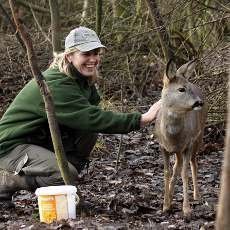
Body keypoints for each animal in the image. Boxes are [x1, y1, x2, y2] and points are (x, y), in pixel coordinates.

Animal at [155, 59, 208, 219]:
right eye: (181, 89)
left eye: (188, 88)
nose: (199, 102)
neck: (172, 136)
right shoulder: (162, 146)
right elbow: (166, 172)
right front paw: (165, 205)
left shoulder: (189, 143)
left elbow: (185, 173)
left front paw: (187, 210)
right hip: (179, 150)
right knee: (176, 166)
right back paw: (171, 195)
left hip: (199, 137)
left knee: (193, 163)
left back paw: (197, 195)